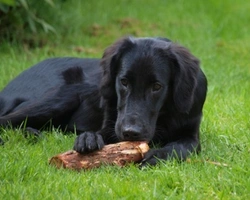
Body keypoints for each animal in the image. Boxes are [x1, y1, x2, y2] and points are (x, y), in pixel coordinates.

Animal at [0, 37, 207, 166]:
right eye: (124, 81)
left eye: (157, 86)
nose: (131, 133)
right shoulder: (111, 124)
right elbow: (100, 133)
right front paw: (88, 138)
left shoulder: (191, 134)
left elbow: (180, 147)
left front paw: (159, 154)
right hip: (60, 98)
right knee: (7, 120)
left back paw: (32, 134)